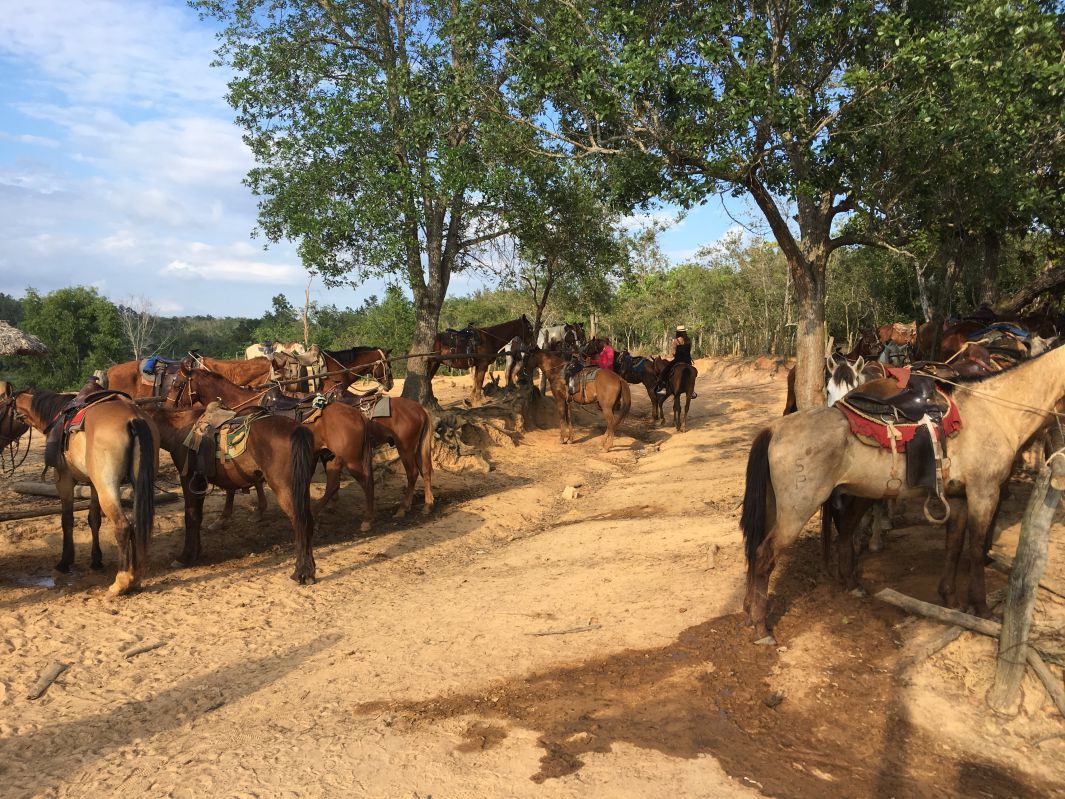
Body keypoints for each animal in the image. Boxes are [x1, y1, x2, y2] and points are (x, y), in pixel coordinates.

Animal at [1, 385, 157, 596]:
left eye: (1, 409)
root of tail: (134, 418)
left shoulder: (64, 481)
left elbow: (67, 520)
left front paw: (65, 561)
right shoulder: (93, 485)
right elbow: (94, 519)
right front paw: (96, 560)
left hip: (108, 487)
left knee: (123, 526)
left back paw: (122, 582)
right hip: (135, 485)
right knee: (137, 525)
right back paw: (135, 576)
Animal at [146, 406, 319, 583]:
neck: (179, 429)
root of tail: (297, 429)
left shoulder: (190, 479)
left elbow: (191, 517)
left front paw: (185, 557)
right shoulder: (200, 483)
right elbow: (197, 518)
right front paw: (195, 552)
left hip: (285, 489)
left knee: (300, 523)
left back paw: (301, 572)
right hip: (301, 488)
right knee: (308, 521)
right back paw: (309, 571)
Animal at [170, 364, 379, 532]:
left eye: (177, 384)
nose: (171, 406)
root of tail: (358, 414)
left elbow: (234, 487)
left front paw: (224, 518)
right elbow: (253, 481)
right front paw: (258, 511)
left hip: (352, 459)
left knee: (367, 482)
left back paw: (367, 520)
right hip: (332, 456)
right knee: (334, 484)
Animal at [741, 343, 1065, 643]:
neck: (995, 413)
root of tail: (775, 430)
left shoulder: (959, 498)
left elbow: (953, 546)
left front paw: (950, 599)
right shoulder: (983, 493)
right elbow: (975, 549)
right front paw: (982, 609)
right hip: (797, 512)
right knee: (765, 554)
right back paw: (760, 627)